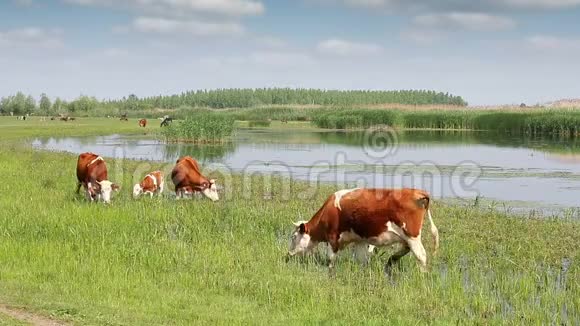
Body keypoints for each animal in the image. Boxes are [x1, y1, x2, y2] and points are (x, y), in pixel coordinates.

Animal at [290, 187, 440, 274]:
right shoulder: (359, 240)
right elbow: (361, 259)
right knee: (405, 249)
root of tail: (417, 192)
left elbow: (331, 259)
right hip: (407, 237)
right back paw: (390, 262)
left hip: (412, 235)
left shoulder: (333, 237)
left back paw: (422, 274)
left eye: (293, 237)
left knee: (421, 255)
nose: (288, 254)